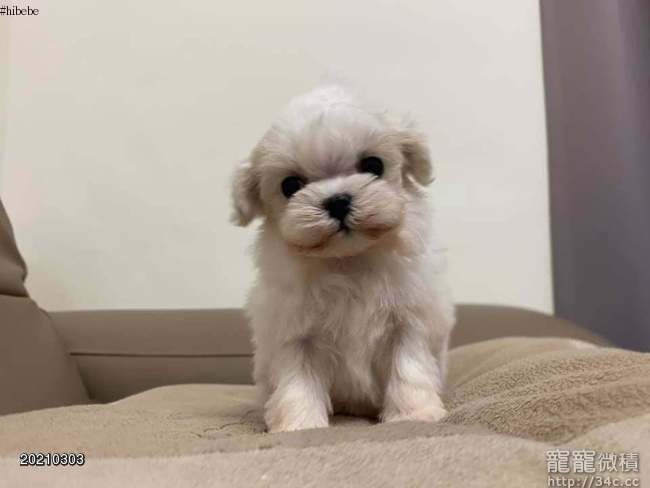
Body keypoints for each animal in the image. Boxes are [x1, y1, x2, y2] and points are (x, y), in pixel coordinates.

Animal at [230, 82, 455, 432]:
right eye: (290, 185)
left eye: (373, 165)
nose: (337, 201)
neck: (348, 259)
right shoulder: (295, 332)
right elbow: (298, 380)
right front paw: (300, 424)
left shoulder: (408, 320)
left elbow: (408, 366)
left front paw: (413, 415)